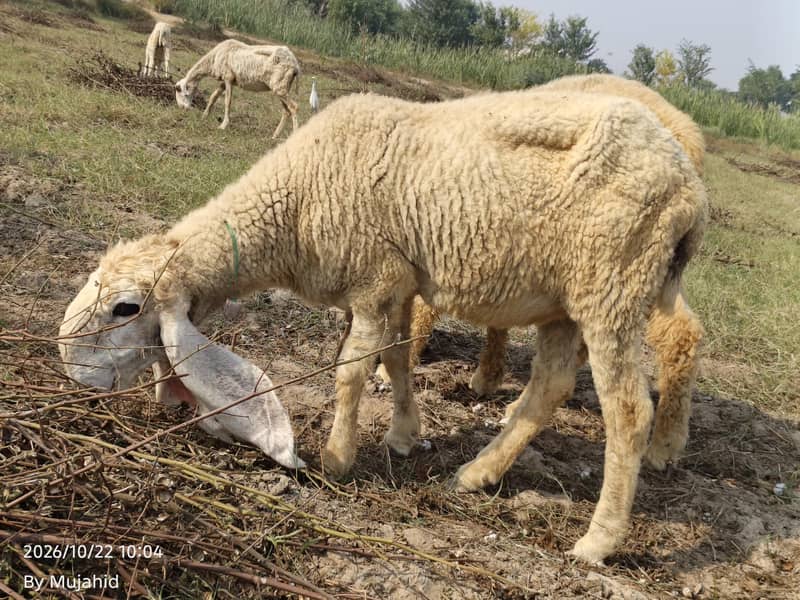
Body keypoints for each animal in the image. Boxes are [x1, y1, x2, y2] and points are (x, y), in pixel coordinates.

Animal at [384, 73, 706, 471]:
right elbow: (496, 319)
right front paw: (488, 375)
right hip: (650, 272)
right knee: (681, 330)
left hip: (621, 269)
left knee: (668, 336)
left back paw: (661, 445)